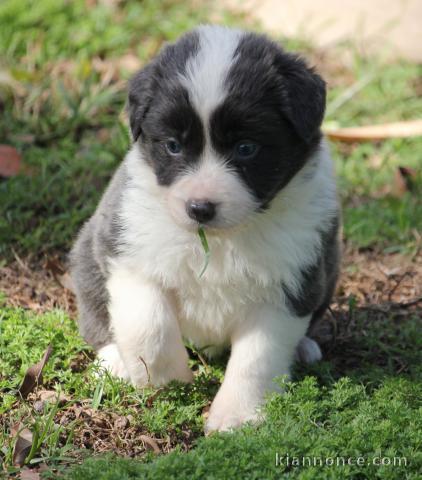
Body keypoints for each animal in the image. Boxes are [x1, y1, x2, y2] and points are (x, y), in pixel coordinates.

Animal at [69, 24, 340, 434]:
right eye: (173, 145)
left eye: (246, 148)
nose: (200, 208)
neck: (221, 239)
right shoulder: (126, 251)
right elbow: (148, 324)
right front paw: (164, 381)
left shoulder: (290, 284)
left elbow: (256, 358)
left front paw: (237, 418)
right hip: (86, 256)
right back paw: (115, 361)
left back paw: (305, 348)